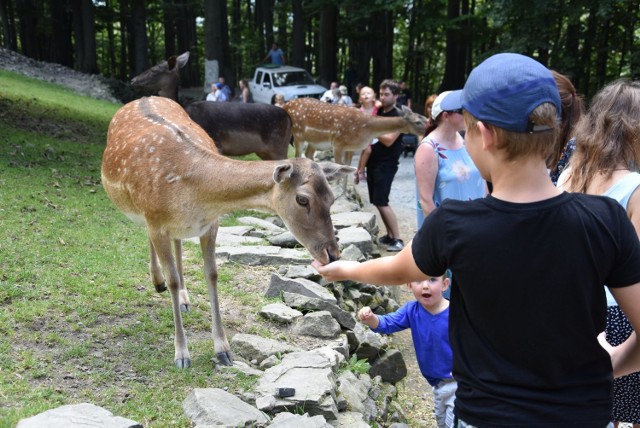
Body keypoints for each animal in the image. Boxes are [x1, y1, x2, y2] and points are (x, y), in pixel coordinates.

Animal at [102, 96, 358, 368]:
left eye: (331, 198)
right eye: (302, 199)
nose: (332, 254)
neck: (194, 194)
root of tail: (143, 98)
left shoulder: (210, 224)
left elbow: (212, 274)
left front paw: (223, 350)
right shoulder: (157, 223)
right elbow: (173, 278)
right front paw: (182, 354)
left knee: (178, 243)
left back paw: (183, 298)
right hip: (145, 213)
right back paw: (159, 282)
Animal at [284, 98, 424, 165]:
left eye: (425, 117)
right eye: (418, 121)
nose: (427, 129)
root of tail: (285, 105)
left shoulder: (350, 148)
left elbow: (347, 169)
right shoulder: (338, 143)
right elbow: (340, 167)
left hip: (313, 141)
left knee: (308, 155)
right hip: (298, 134)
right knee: (296, 155)